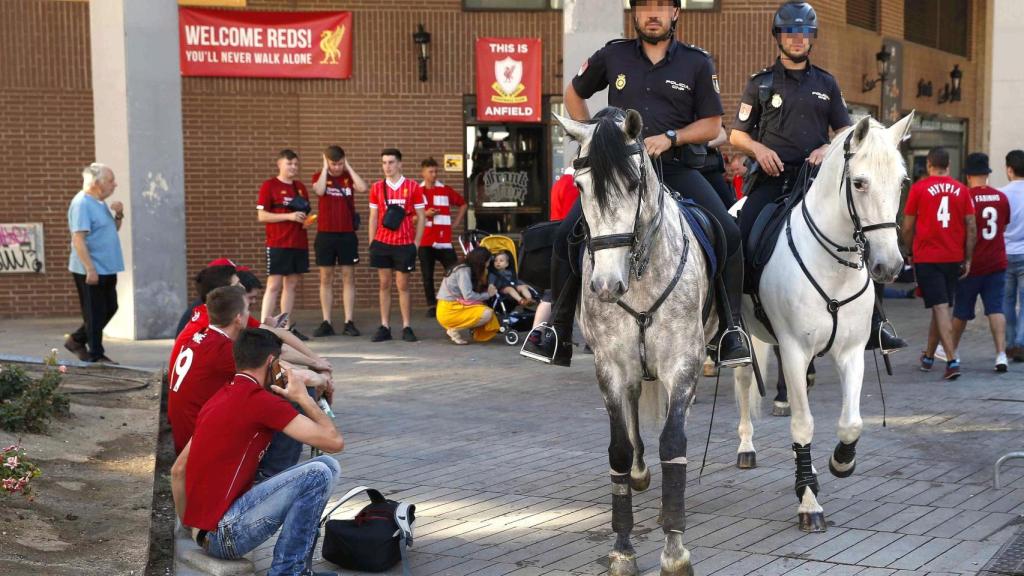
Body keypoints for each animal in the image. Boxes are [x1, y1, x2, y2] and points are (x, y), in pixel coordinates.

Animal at [555, 107, 716, 576]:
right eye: (579, 186)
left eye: (632, 184)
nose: (607, 286)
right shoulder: (610, 367)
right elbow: (620, 451)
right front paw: (623, 548)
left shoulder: (683, 363)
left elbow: (673, 443)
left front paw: (675, 549)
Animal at [733, 112, 915, 532]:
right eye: (859, 182)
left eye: (902, 182)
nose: (889, 266)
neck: (834, 266)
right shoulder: (795, 351)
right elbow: (803, 424)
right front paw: (809, 503)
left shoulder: (851, 352)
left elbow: (851, 422)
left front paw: (839, 462)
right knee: (745, 381)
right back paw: (747, 447)